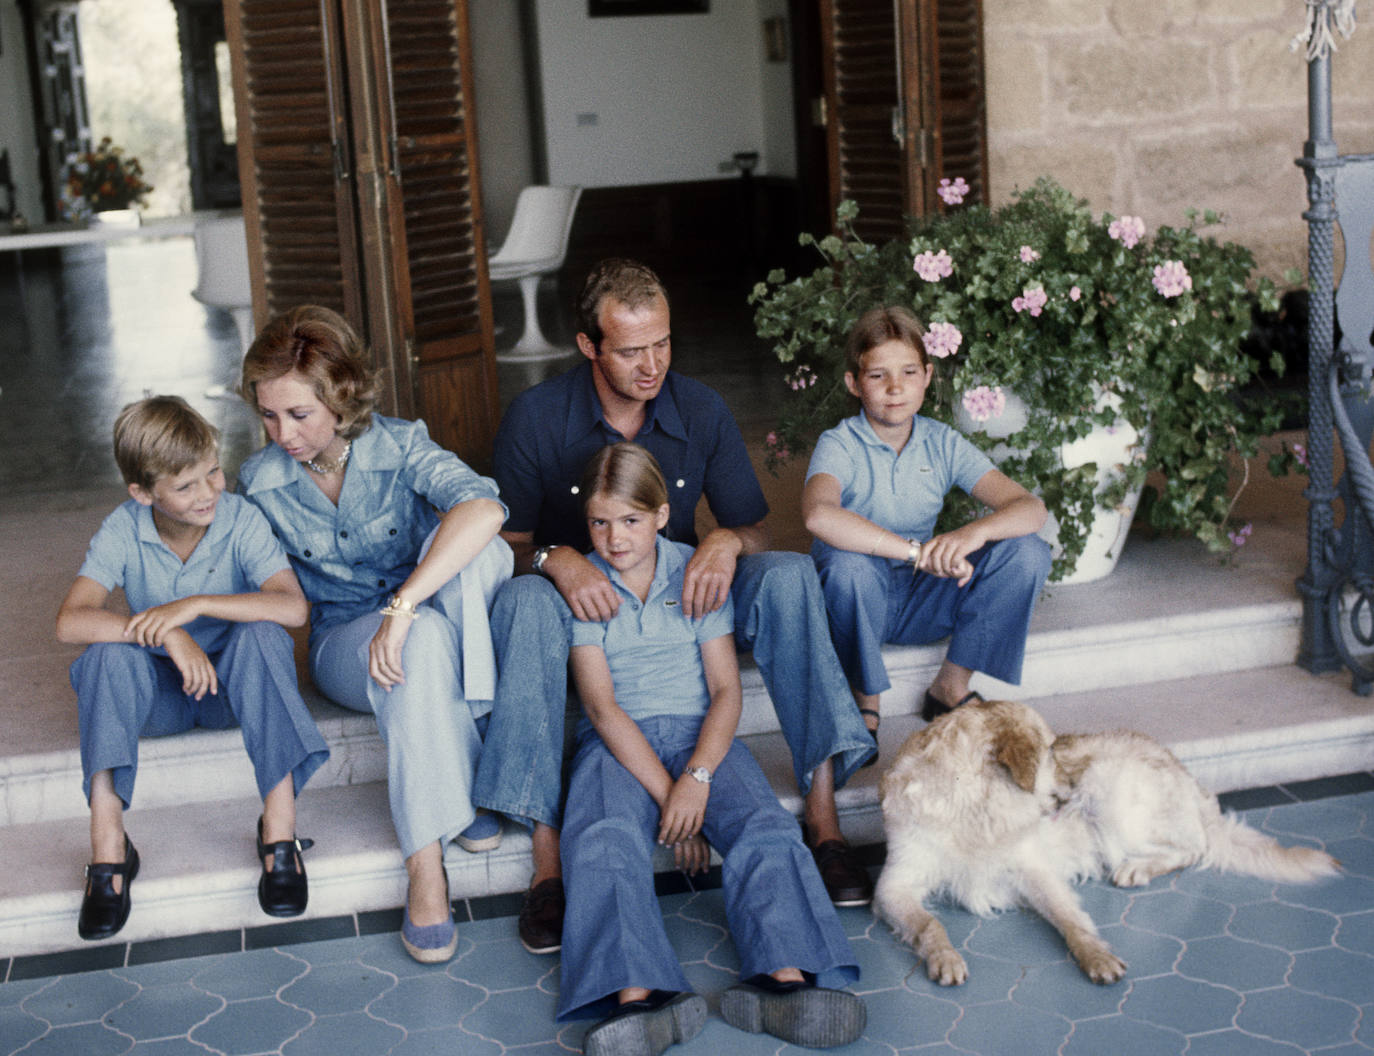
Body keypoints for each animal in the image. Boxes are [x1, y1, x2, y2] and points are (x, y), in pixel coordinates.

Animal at [873, 697, 1335, 983]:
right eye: (1050, 754)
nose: (1069, 788)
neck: (974, 806)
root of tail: (1191, 779)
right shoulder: (894, 886)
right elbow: (929, 924)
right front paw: (945, 956)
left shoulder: (1035, 872)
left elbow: (1070, 919)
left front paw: (1096, 956)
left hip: (1109, 789)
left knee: (1195, 847)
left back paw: (1137, 868)